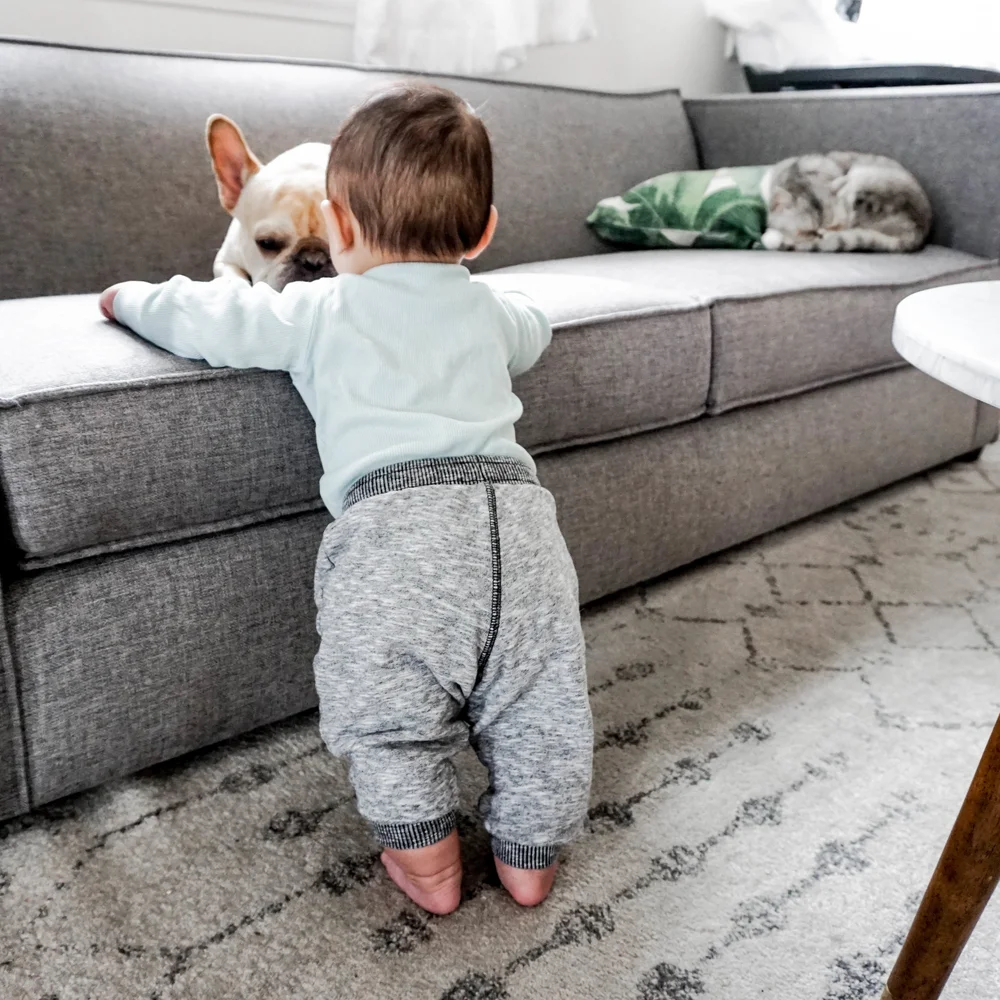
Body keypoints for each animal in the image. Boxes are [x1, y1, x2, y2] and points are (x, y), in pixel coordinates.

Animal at [760, 152, 932, 253]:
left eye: (835, 226)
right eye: (807, 232)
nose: (822, 236)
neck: (799, 175)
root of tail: (919, 230)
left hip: (860, 177)